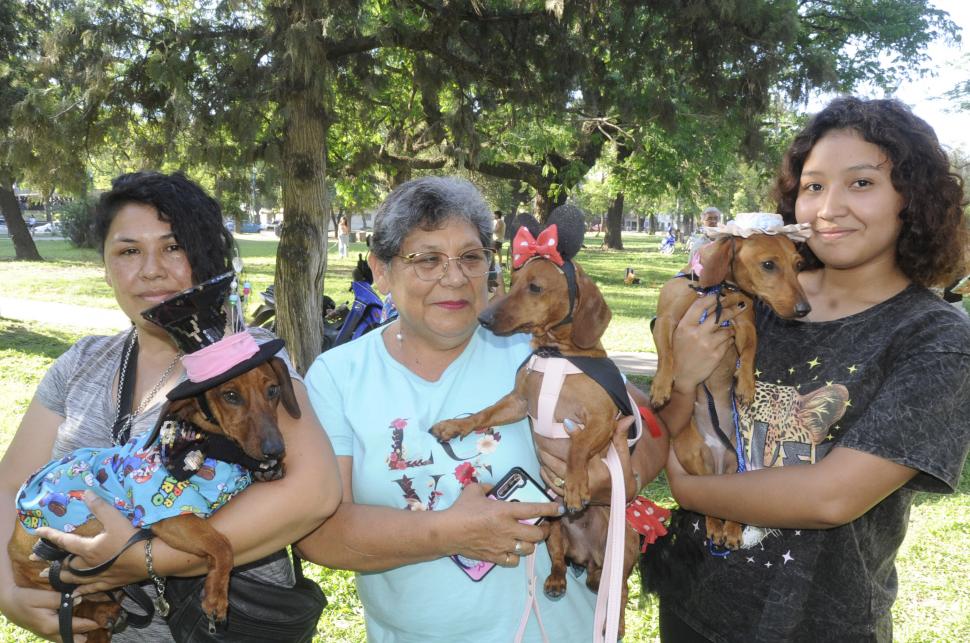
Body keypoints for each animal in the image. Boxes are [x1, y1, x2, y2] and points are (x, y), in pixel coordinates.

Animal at [8, 360, 298, 640]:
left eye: (273, 390)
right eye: (230, 395)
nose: (276, 450)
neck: (206, 443)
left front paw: (268, 471)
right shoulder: (171, 517)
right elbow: (223, 546)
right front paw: (216, 596)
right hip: (49, 567)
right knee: (68, 605)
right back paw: (103, 611)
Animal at [432, 210, 644, 640]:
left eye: (535, 287)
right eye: (511, 282)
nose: (484, 318)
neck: (554, 354)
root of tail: (589, 556)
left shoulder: (600, 420)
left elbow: (577, 448)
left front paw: (577, 486)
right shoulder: (517, 403)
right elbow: (483, 414)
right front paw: (453, 427)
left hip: (625, 539)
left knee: (618, 587)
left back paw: (612, 617)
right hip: (550, 528)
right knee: (564, 562)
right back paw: (558, 580)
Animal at [652, 231, 808, 548]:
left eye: (799, 264)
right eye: (769, 264)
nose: (804, 310)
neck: (718, 290)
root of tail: (719, 457)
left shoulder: (746, 325)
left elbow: (748, 355)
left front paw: (745, 384)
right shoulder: (665, 320)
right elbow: (667, 356)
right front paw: (662, 385)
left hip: (741, 460)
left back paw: (732, 530)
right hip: (692, 455)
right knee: (710, 503)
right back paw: (715, 526)